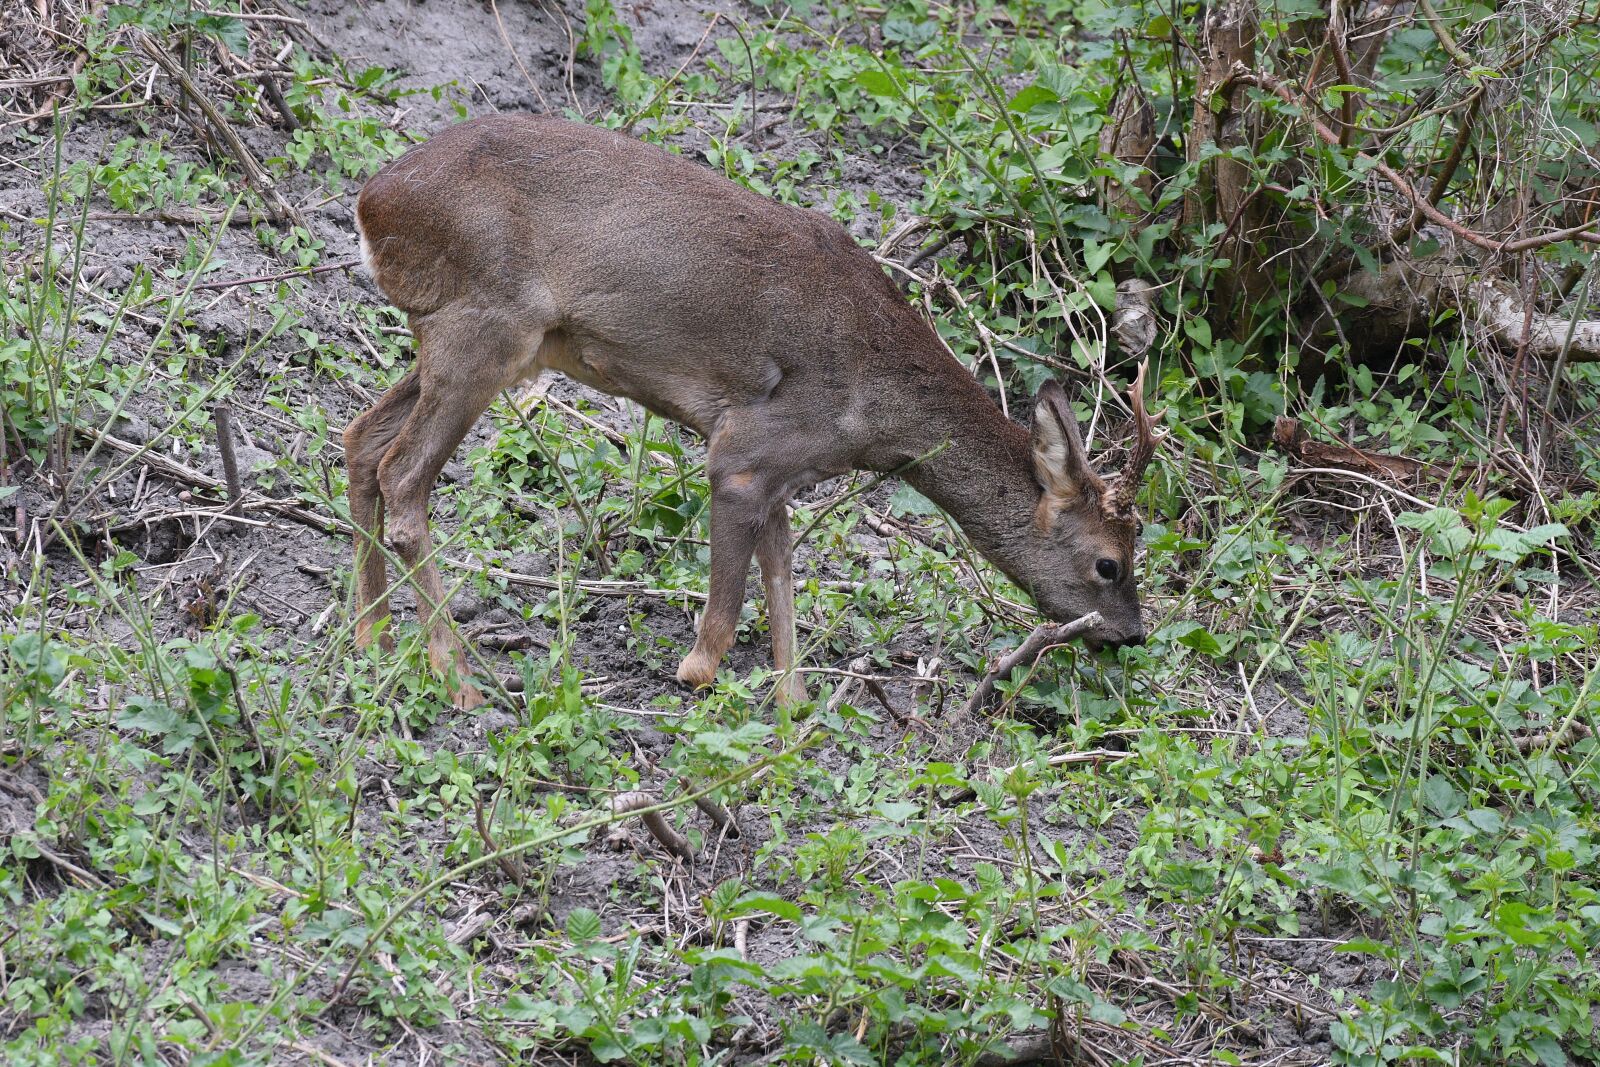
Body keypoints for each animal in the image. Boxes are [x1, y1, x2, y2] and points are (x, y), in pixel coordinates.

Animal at [346, 114, 1161, 710]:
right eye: (1110, 562)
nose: (1132, 635)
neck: (878, 411)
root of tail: (370, 202)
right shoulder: (744, 451)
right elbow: (731, 608)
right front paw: (698, 671)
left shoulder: (782, 471)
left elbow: (782, 578)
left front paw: (795, 706)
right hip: (486, 321)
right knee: (404, 476)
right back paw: (456, 678)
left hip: (467, 336)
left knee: (360, 441)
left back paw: (374, 637)